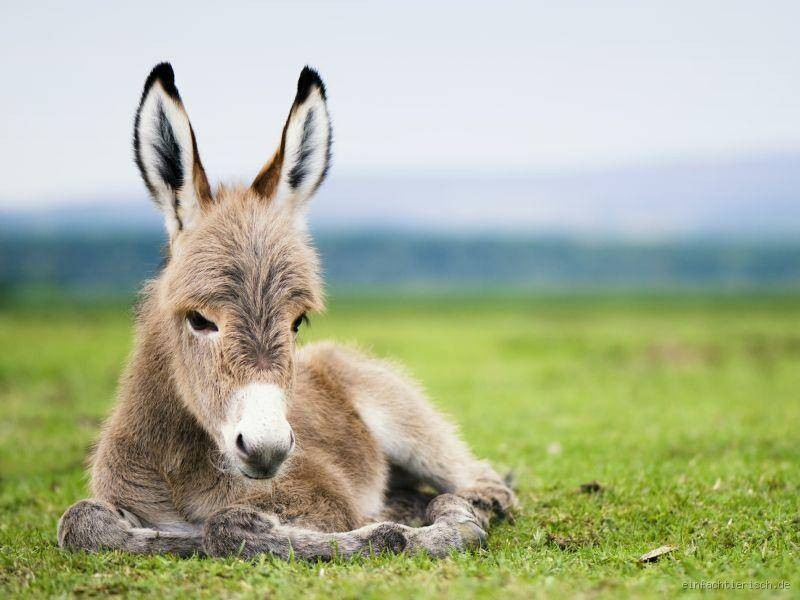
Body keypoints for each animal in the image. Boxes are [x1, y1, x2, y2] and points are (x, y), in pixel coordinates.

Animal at [59, 63, 516, 560]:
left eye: (298, 322)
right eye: (199, 319)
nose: (267, 448)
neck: (180, 470)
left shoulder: (325, 502)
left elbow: (228, 525)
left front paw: (413, 530)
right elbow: (79, 521)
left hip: (413, 430)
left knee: (485, 485)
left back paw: (457, 509)